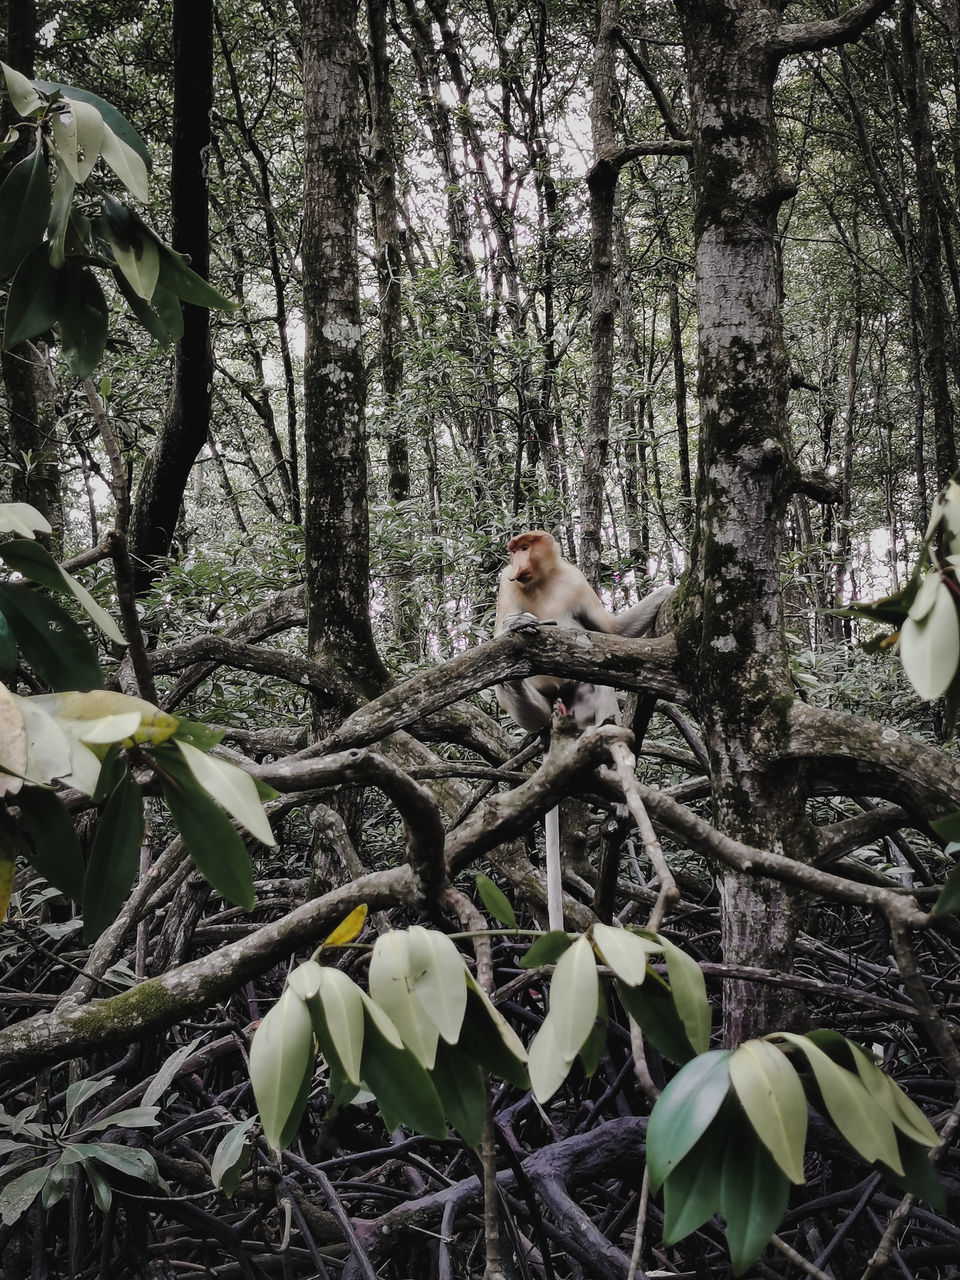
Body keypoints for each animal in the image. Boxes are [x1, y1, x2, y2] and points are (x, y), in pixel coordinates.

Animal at [491, 529, 670, 931]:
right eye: (513, 550)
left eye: (525, 547)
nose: (515, 563)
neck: (540, 581)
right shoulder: (506, 588)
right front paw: (514, 625)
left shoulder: (574, 580)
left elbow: (609, 630)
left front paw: (669, 589)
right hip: (539, 711)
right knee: (512, 683)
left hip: (579, 705)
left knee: (597, 682)